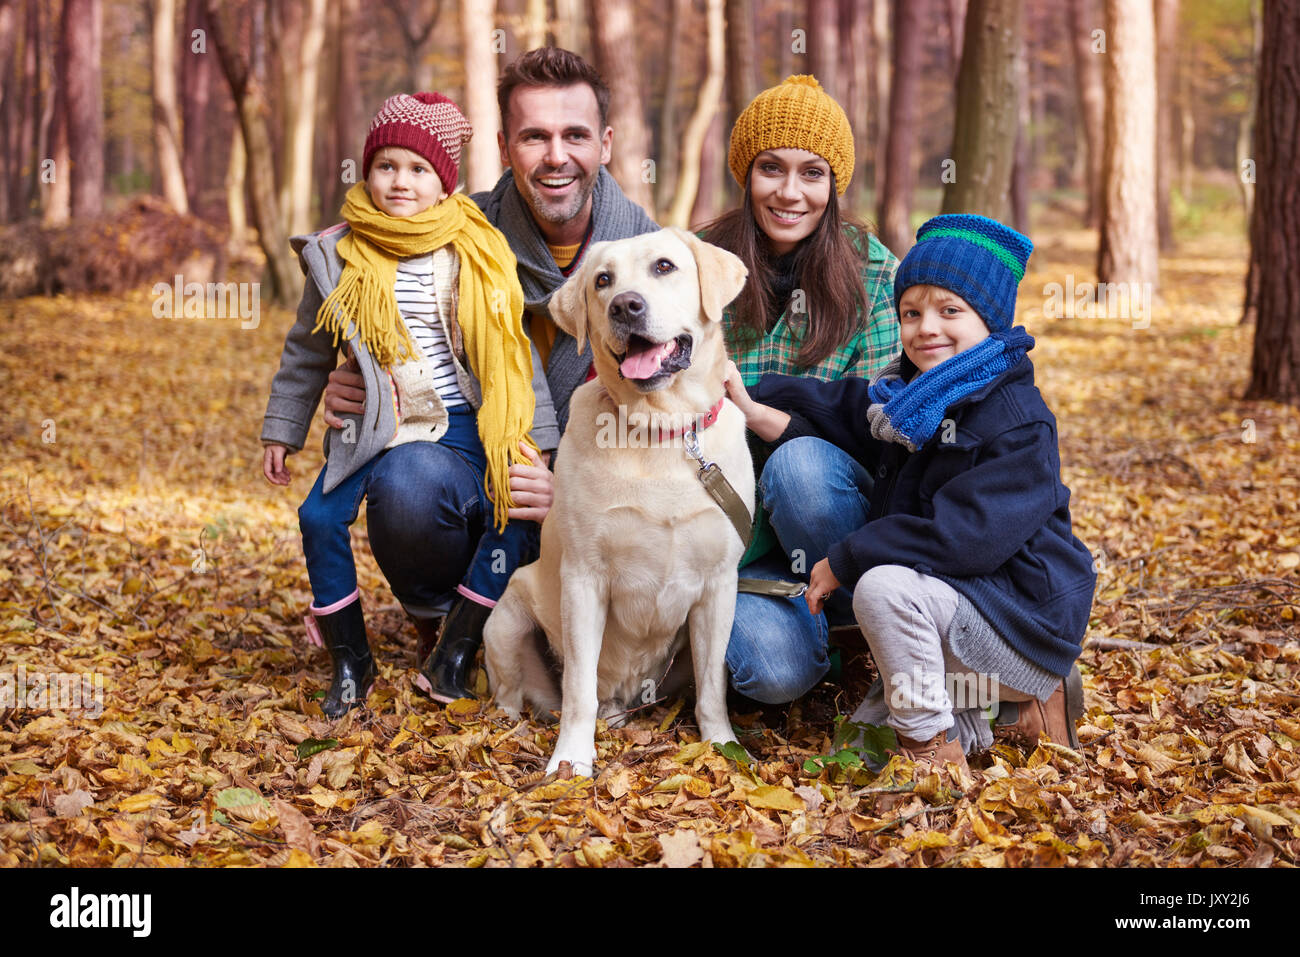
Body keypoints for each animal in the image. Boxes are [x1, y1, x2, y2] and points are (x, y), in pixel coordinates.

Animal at [486, 226, 754, 780]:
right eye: (602, 280)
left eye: (665, 266)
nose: (625, 306)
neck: (660, 431)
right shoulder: (584, 578)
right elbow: (578, 688)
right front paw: (571, 758)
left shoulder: (720, 584)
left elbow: (713, 685)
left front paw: (722, 745)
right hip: (505, 619)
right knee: (517, 695)